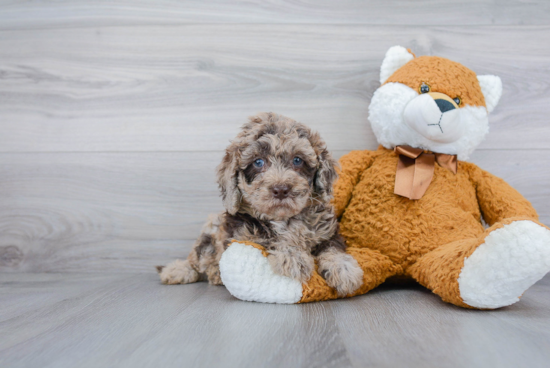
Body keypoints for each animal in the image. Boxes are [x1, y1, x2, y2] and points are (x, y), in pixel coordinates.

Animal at [158, 112, 366, 296]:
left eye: (297, 160)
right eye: (258, 162)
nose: (281, 189)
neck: (285, 220)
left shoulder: (327, 232)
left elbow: (332, 249)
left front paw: (345, 271)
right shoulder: (243, 235)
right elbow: (271, 238)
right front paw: (293, 258)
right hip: (210, 231)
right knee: (197, 259)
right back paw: (181, 271)